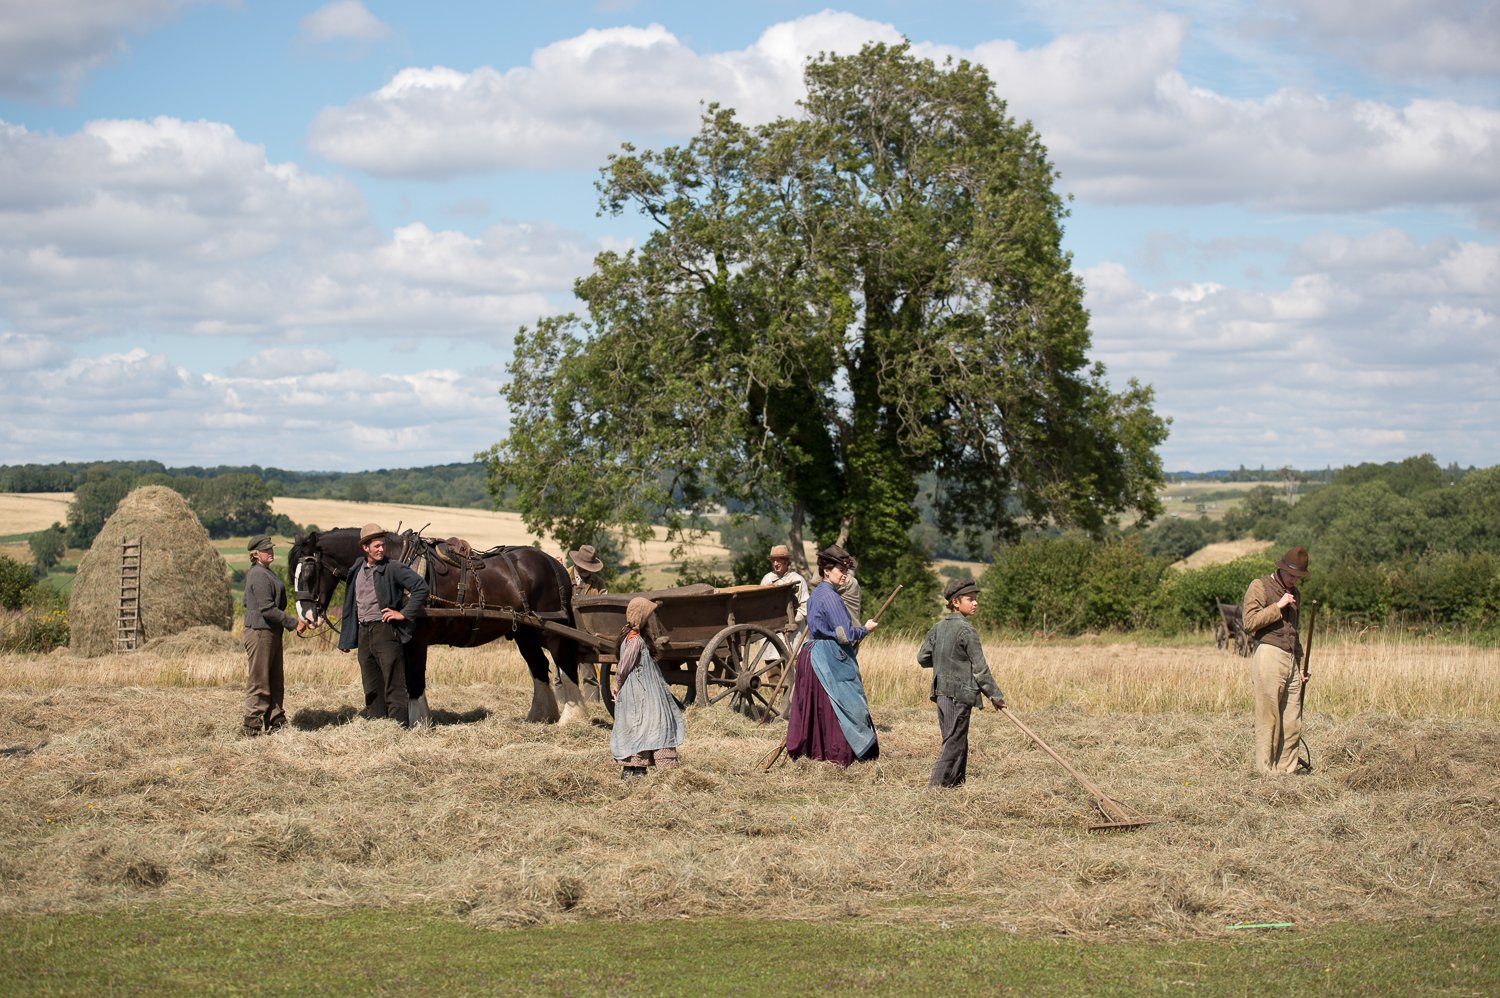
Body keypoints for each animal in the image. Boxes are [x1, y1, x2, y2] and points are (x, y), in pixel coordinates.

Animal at [283, 528, 588, 723]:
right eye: (290, 573)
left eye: (308, 571)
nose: (305, 616)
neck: (398, 559)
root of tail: (554, 564)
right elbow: (404, 677)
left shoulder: (416, 638)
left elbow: (415, 678)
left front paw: (419, 721)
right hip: (524, 632)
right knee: (539, 667)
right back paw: (539, 716)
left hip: (552, 629)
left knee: (565, 666)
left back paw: (572, 718)